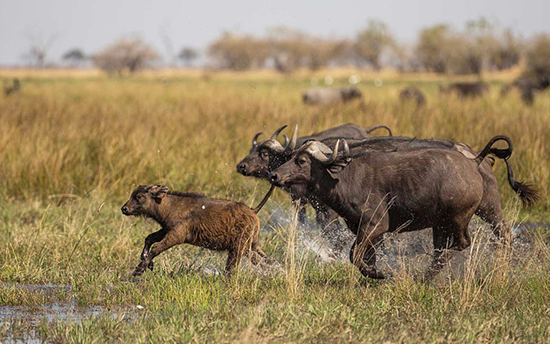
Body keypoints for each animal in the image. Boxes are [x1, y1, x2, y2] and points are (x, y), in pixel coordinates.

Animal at [123, 184, 274, 276]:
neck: (169, 206)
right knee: (265, 261)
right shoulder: (166, 229)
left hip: (238, 249)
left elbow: (156, 248)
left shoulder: (176, 235)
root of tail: (253, 211)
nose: (124, 208)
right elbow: (149, 238)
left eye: (139, 196)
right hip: (251, 247)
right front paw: (146, 261)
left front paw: (139, 269)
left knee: (231, 268)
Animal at [270, 136, 540, 278]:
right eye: (290, 157)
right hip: (454, 220)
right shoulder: (365, 230)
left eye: (301, 161)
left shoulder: (375, 226)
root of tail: (475, 161)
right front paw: (372, 273)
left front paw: (379, 274)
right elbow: (363, 255)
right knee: (451, 246)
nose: (275, 175)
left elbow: (354, 255)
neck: (345, 177)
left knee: (467, 242)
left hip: (464, 217)